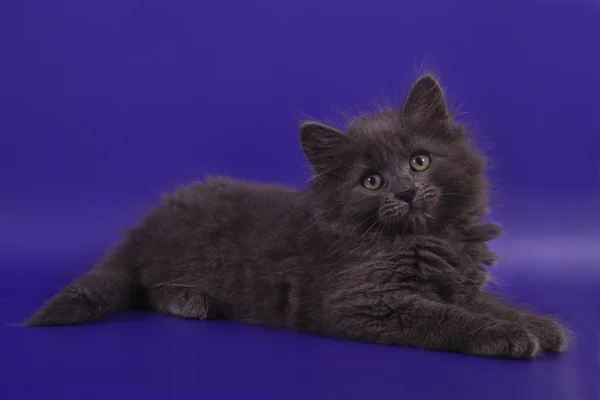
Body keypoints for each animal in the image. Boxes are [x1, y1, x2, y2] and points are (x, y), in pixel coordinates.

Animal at [23, 74, 568, 360]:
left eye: (419, 161)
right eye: (371, 181)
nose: (408, 191)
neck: (428, 238)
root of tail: (146, 221)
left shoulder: (464, 282)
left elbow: (490, 303)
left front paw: (540, 325)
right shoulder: (365, 302)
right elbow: (446, 317)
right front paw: (504, 336)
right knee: (150, 287)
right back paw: (191, 301)